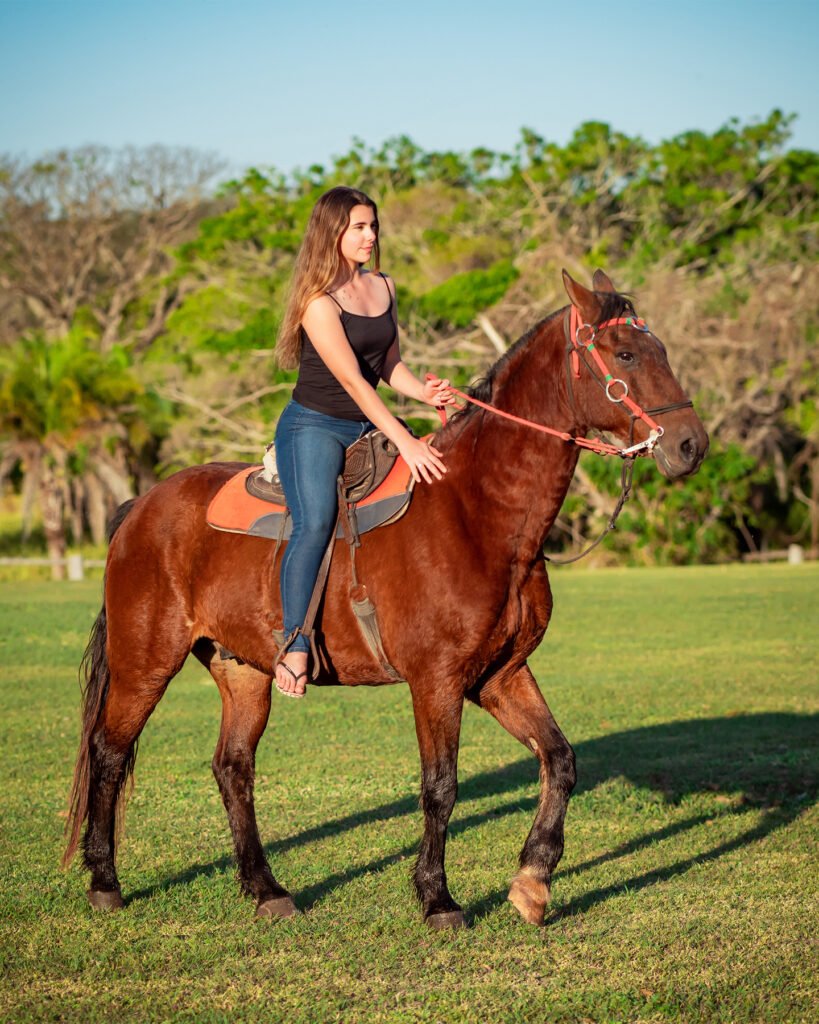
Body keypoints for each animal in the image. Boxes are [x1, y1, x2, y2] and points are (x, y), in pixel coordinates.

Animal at [63, 270, 708, 929]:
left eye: (659, 350)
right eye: (625, 355)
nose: (691, 445)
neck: (478, 511)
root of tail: (139, 508)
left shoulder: (501, 674)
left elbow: (560, 758)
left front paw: (532, 881)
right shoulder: (437, 681)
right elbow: (441, 786)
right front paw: (437, 897)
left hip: (242, 670)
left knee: (232, 768)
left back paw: (266, 888)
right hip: (145, 663)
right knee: (109, 753)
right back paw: (105, 882)